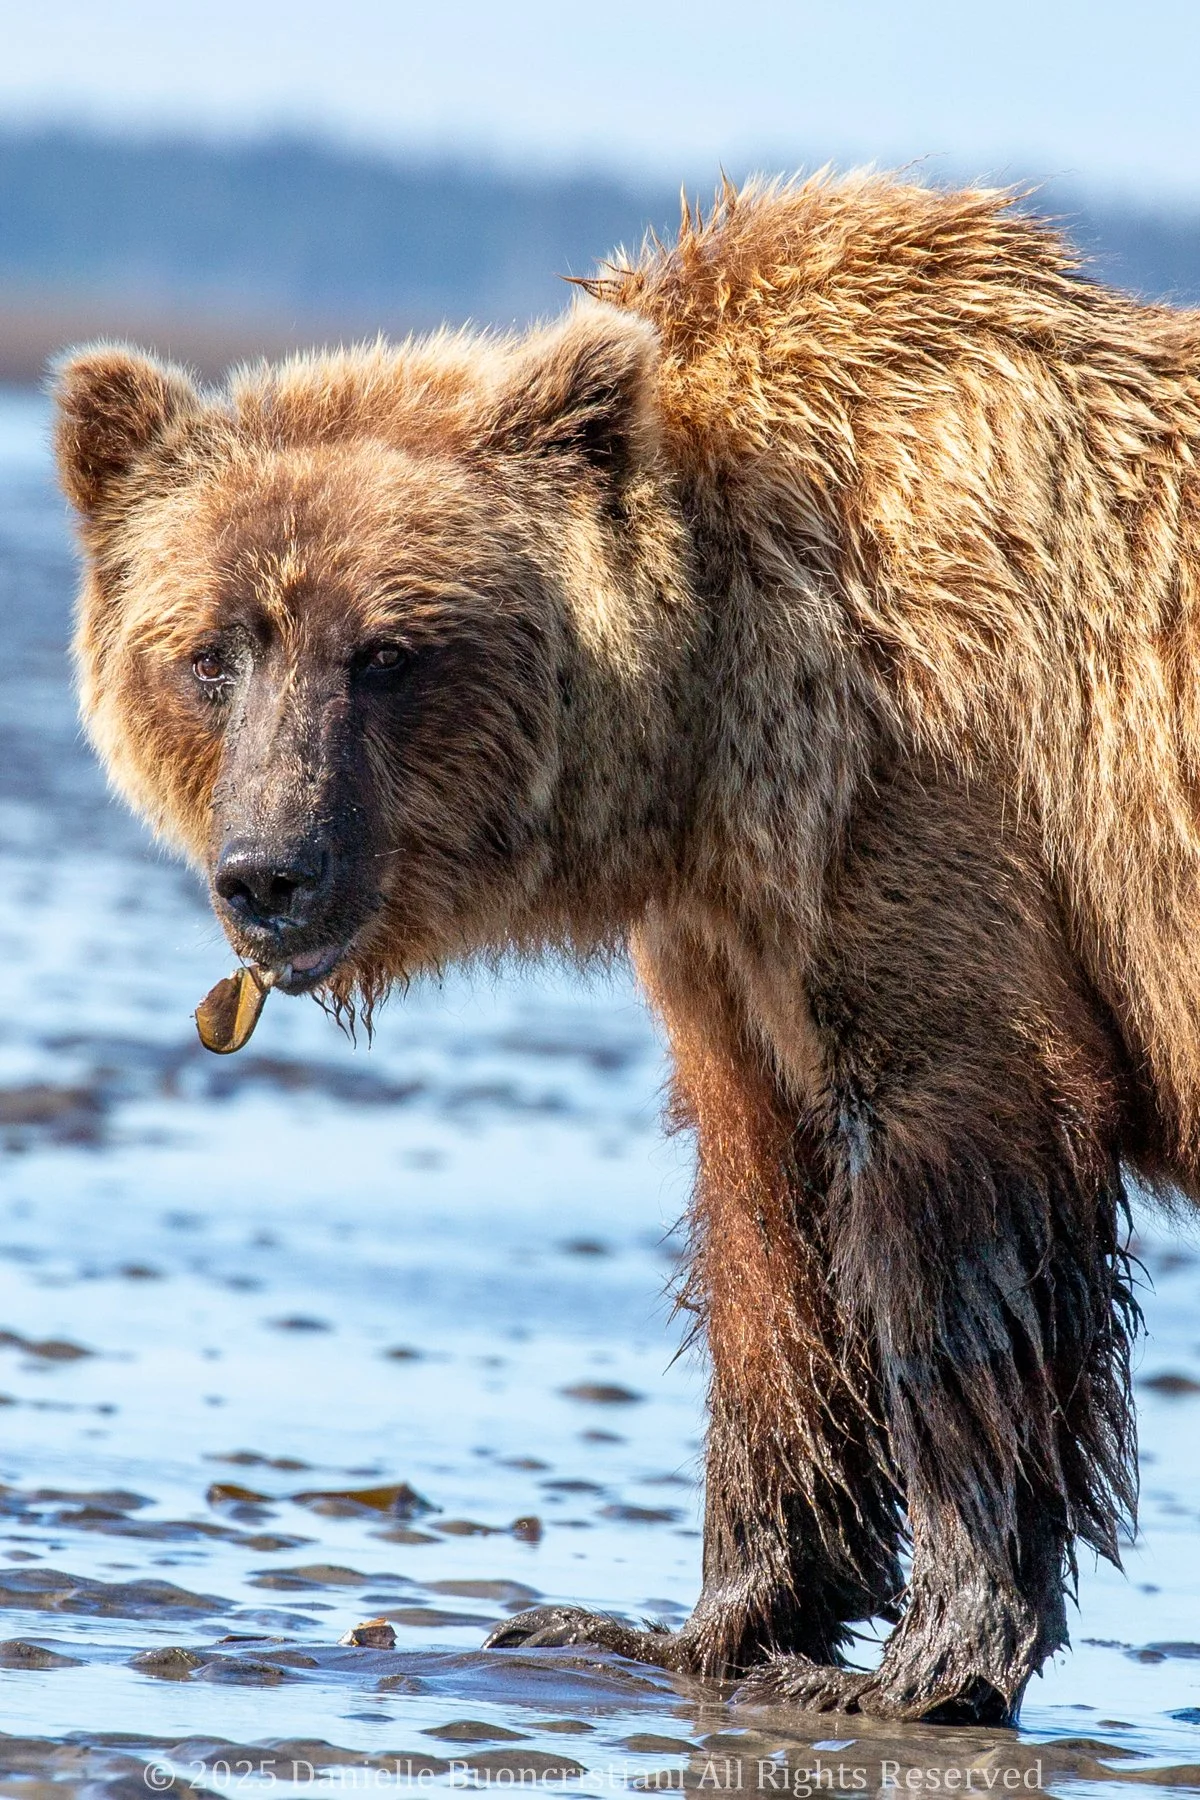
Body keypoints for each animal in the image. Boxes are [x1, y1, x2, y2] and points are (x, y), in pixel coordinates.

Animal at [51, 171, 1200, 1725]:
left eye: (389, 652)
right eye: (215, 651)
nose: (269, 875)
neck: (714, 725)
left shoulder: (931, 807)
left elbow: (963, 1203)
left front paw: (923, 1663)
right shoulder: (737, 932)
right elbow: (768, 1245)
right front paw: (679, 1621)